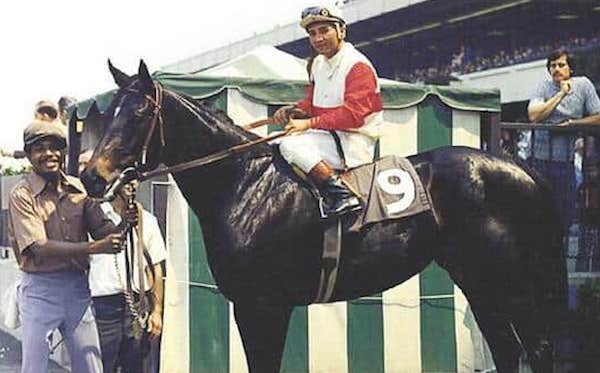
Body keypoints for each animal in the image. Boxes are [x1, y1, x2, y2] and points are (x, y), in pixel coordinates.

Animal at [83, 61, 568, 372]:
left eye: (139, 112)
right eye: (108, 113)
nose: (90, 176)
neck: (245, 183)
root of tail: (520, 167)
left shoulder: (264, 305)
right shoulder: (251, 306)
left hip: (512, 283)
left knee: (538, 349)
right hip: (479, 281)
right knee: (507, 349)